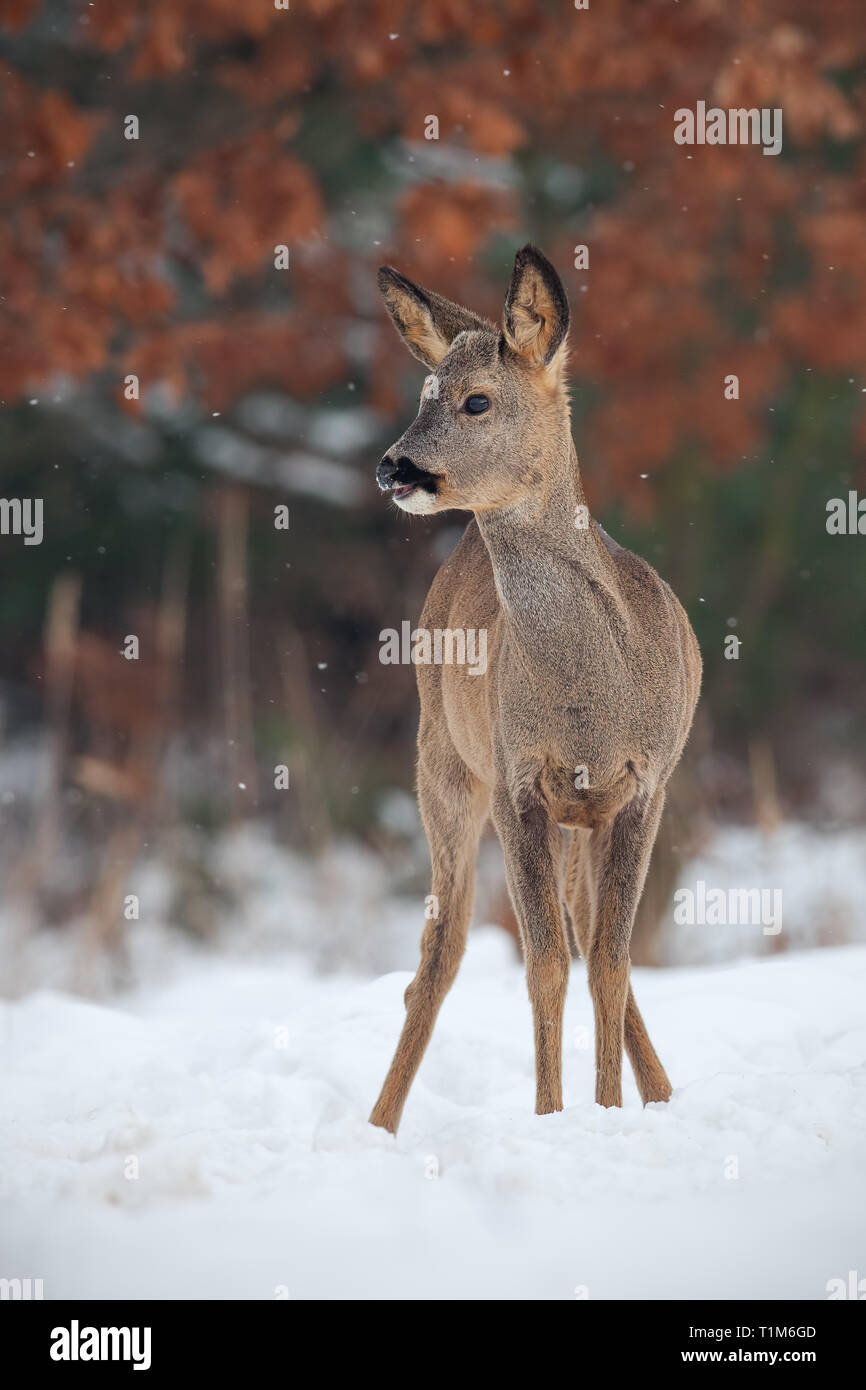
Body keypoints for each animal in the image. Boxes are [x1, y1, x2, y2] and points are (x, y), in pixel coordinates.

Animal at [369, 244, 700, 1134]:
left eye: (476, 399)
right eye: (422, 395)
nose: (392, 466)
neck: (593, 699)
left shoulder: (645, 785)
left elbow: (609, 962)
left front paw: (608, 1112)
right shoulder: (518, 779)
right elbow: (544, 963)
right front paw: (553, 1118)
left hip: (572, 811)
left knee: (585, 929)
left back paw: (661, 1093)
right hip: (444, 760)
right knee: (441, 948)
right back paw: (378, 1124)